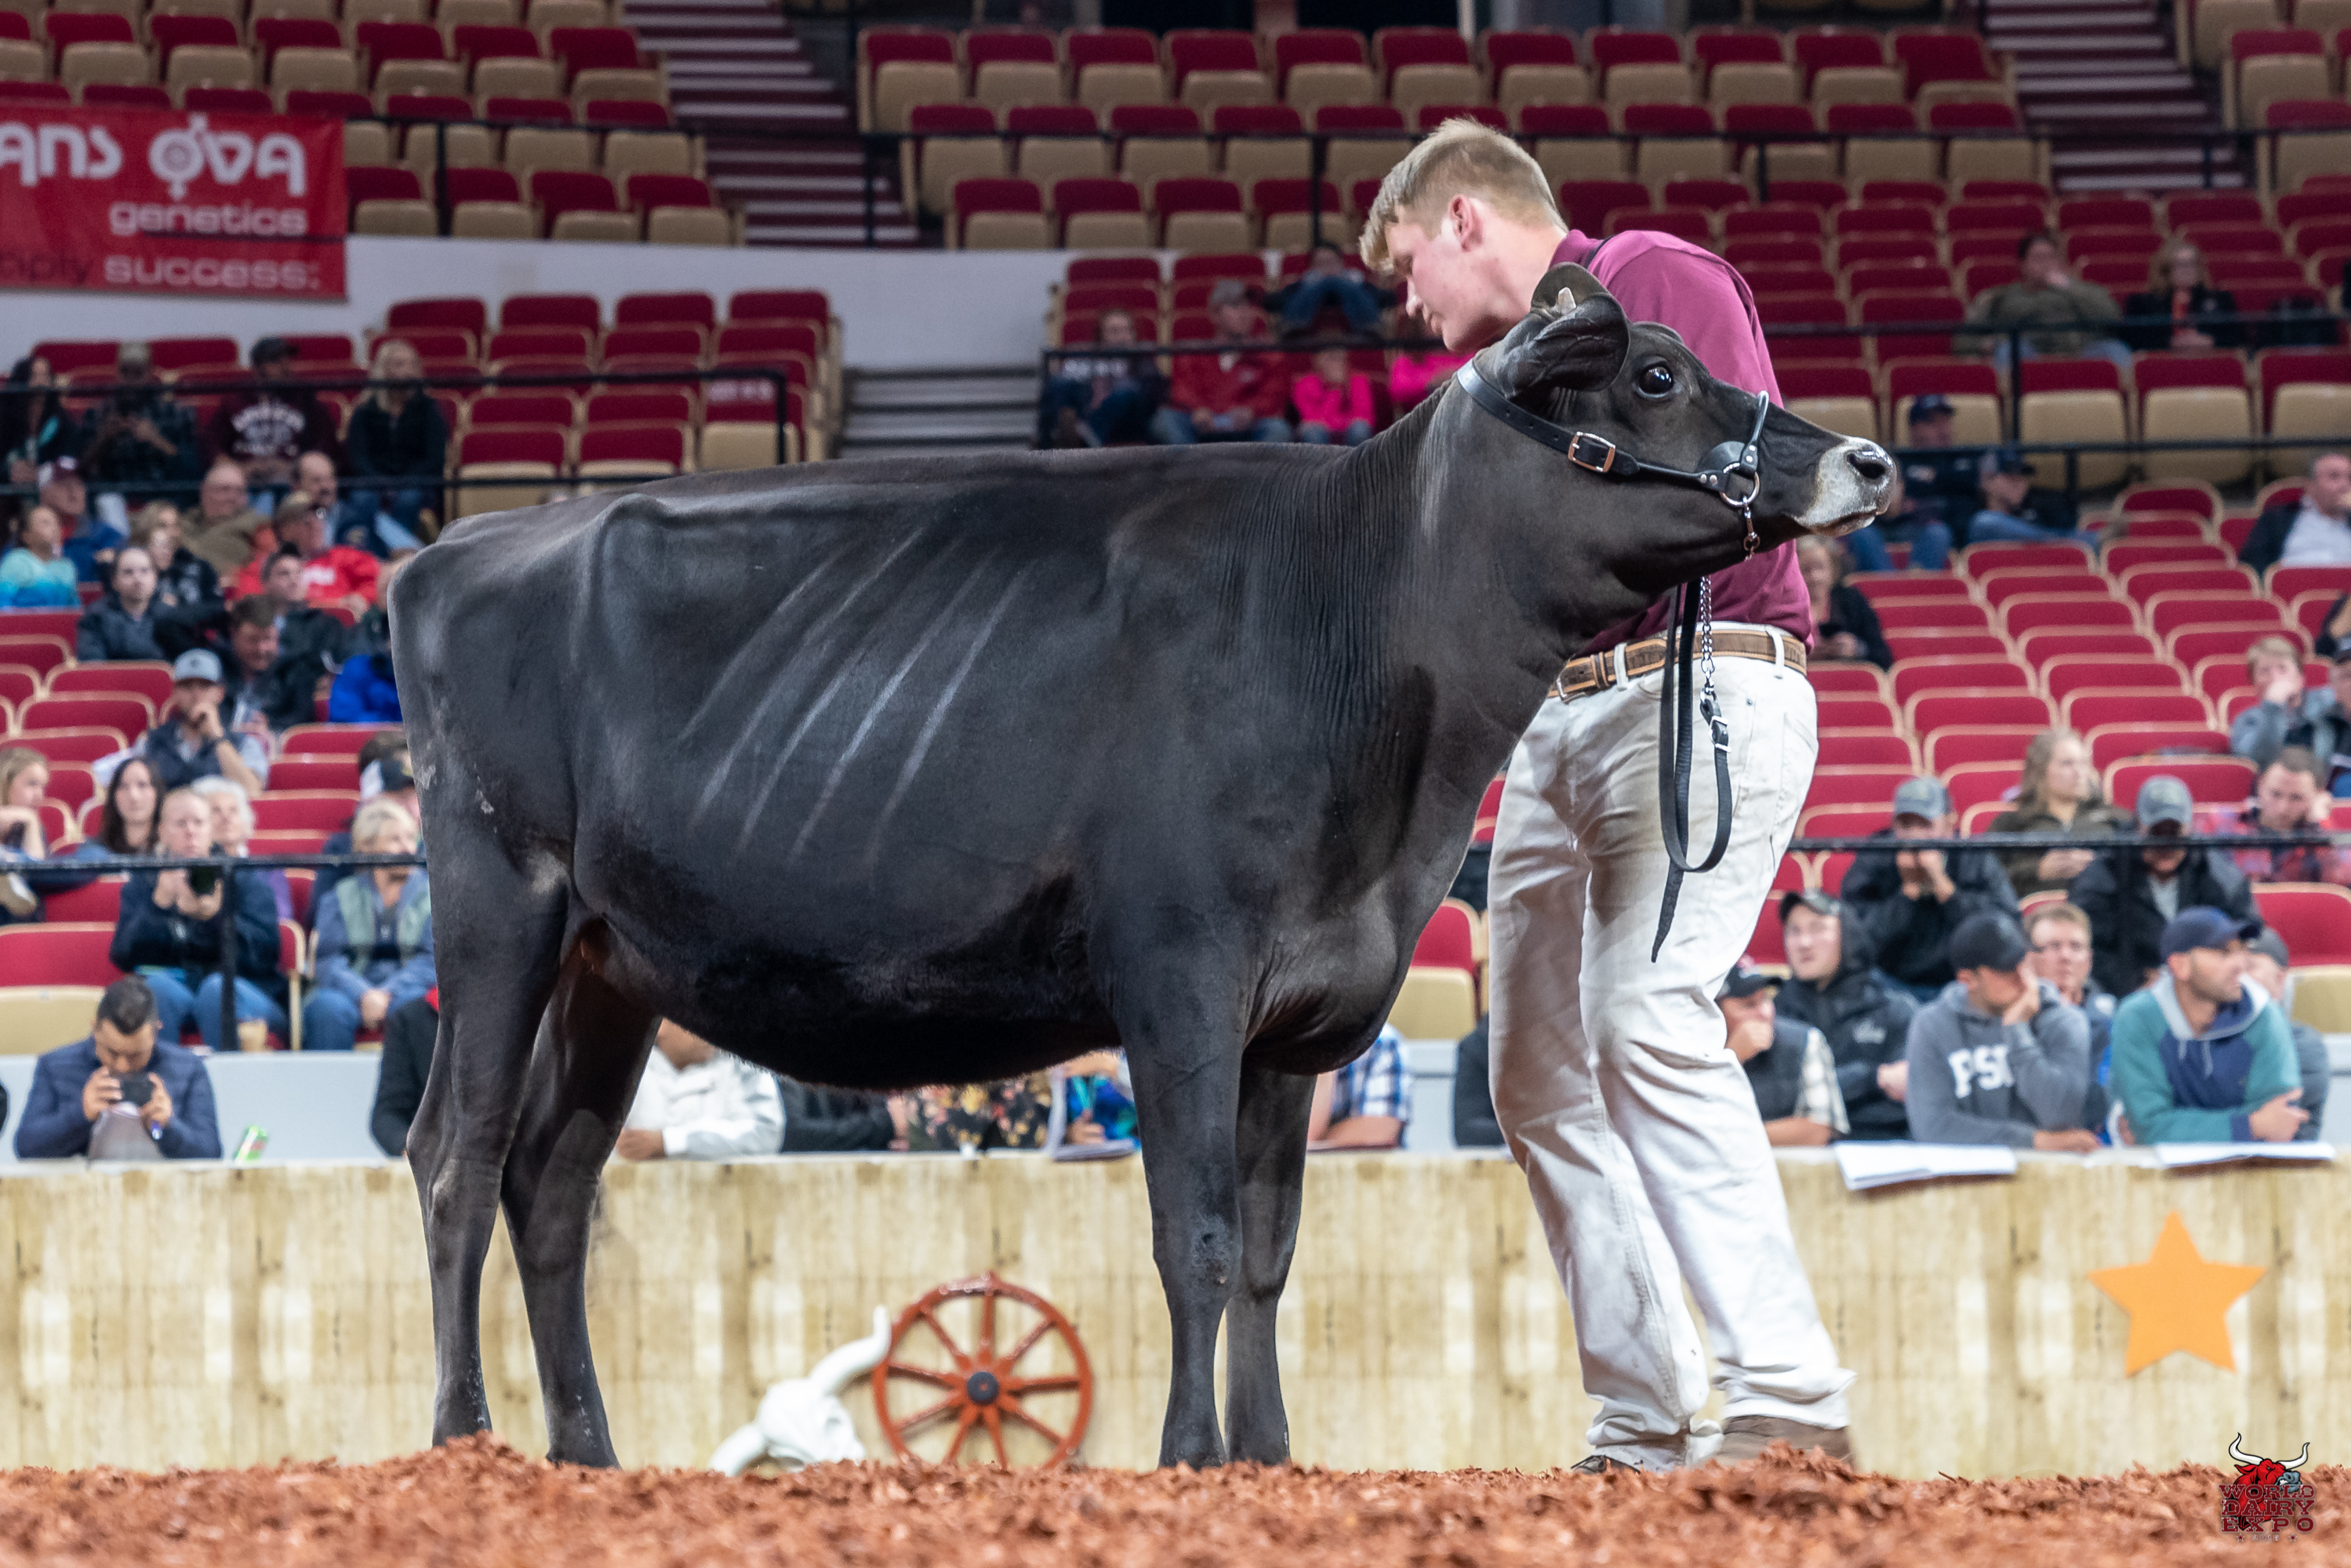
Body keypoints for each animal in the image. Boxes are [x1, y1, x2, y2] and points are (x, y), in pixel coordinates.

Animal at [391, 265, 1893, 1473]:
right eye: (1654, 376)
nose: (1868, 461)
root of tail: (454, 551)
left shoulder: (1299, 1011)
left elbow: (1271, 1252)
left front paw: (1265, 1460)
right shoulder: (1181, 975)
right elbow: (1199, 1239)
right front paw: (1185, 1456)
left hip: (610, 963)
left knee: (553, 1183)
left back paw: (587, 1456)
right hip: (499, 895)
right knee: (457, 1153)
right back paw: (463, 1441)